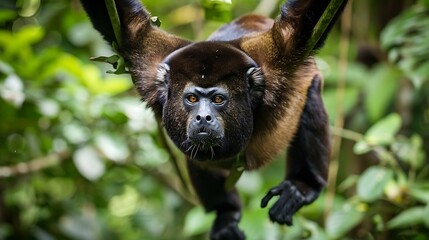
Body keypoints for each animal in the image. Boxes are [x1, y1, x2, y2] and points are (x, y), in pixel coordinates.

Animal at [80, 0, 346, 239]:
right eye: (191, 98)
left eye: (218, 99)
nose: (203, 117)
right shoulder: (149, 63)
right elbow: (129, 23)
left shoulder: (282, 54)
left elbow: (304, 18)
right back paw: (226, 214)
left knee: (311, 101)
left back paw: (303, 186)